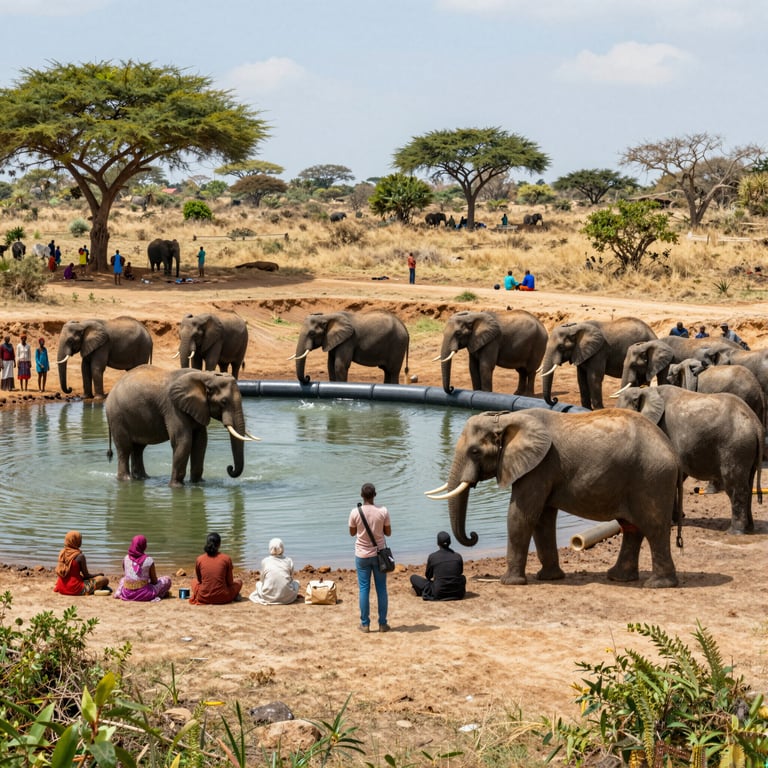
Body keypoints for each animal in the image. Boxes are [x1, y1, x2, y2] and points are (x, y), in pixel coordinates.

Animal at [105, 366, 258, 487]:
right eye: (224, 402)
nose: (229, 468)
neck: (205, 376)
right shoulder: (172, 406)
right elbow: (183, 441)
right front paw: (177, 487)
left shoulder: (198, 408)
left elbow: (201, 442)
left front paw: (198, 484)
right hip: (117, 416)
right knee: (125, 448)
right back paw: (126, 480)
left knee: (138, 448)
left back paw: (143, 478)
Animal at [426, 408, 682, 587]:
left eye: (474, 452)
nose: (473, 535)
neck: (509, 419)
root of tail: (672, 449)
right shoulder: (541, 469)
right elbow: (542, 519)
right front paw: (549, 578)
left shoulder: (539, 467)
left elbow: (521, 516)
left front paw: (509, 583)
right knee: (631, 528)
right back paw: (618, 578)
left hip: (651, 478)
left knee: (654, 527)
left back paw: (657, 585)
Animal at [616, 385, 763, 535]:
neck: (646, 390)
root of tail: (756, 424)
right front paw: (675, 519)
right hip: (746, 449)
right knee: (748, 483)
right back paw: (749, 529)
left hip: (735, 447)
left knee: (735, 486)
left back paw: (734, 531)